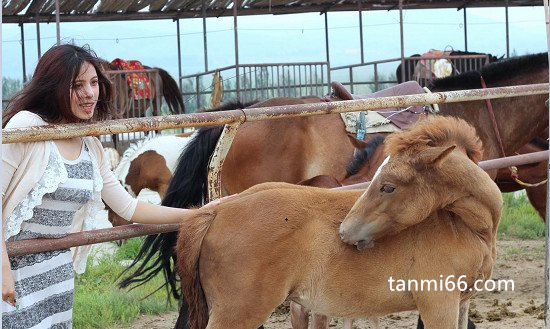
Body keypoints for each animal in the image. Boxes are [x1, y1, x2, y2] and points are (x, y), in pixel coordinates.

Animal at [178, 115, 504, 328]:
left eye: (388, 186)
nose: (345, 231)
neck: (466, 226)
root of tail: (216, 212)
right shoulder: (438, 305)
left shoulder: (461, 303)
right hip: (237, 314)